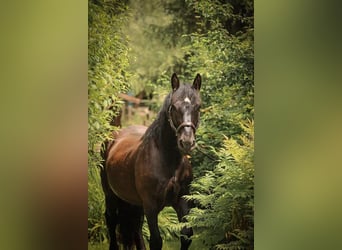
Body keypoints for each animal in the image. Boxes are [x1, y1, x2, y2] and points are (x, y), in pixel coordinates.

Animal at [99, 73, 200, 249]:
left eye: (198, 107)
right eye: (174, 107)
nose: (187, 142)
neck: (168, 160)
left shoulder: (182, 201)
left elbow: (186, 235)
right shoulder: (151, 206)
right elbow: (156, 241)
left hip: (135, 202)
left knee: (136, 228)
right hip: (110, 194)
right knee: (111, 220)